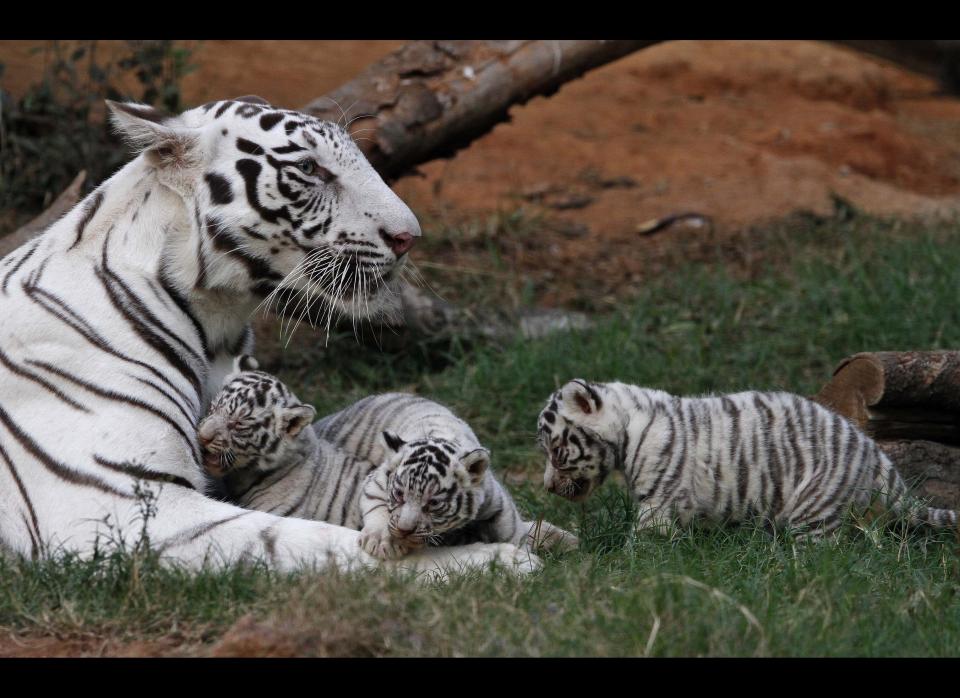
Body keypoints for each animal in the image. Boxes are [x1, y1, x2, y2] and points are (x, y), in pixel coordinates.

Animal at [0, 98, 540, 576]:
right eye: (310, 168)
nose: (409, 238)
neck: (215, 325)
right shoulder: (122, 507)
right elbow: (303, 541)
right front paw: (499, 563)